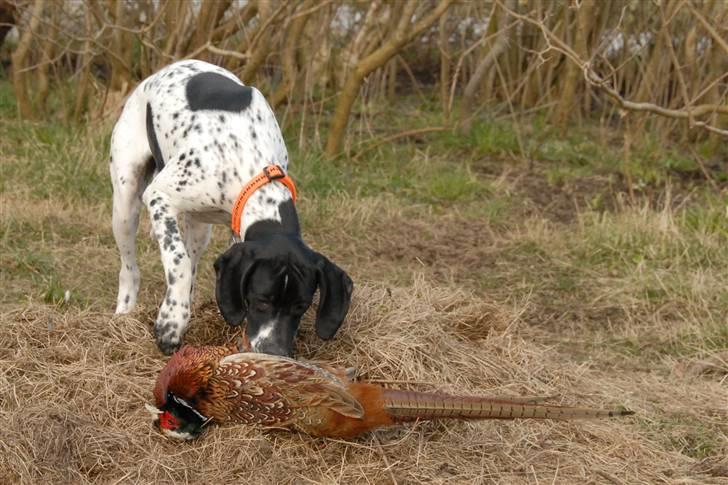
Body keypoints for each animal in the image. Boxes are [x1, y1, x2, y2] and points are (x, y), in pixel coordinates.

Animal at [109, 59, 356, 356]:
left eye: (301, 306)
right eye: (261, 300)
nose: (275, 352)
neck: (248, 160)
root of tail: (166, 69)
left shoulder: (237, 229)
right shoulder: (160, 196)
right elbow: (178, 263)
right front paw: (171, 323)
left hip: (199, 228)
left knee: (192, 260)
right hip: (126, 205)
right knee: (130, 268)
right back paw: (125, 312)